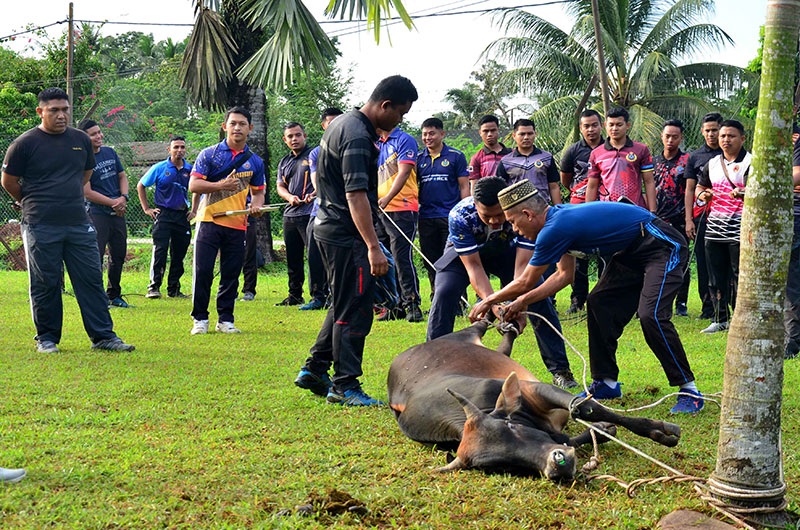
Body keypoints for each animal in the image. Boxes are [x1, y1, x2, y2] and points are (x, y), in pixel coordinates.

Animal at [388, 320, 680, 480]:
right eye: (501, 465)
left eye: (510, 426)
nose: (558, 464)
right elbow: (573, 436)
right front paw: (602, 431)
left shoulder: (536, 389)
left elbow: (587, 407)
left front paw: (660, 431)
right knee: (504, 344)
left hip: (466, 333)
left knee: (483, 322)